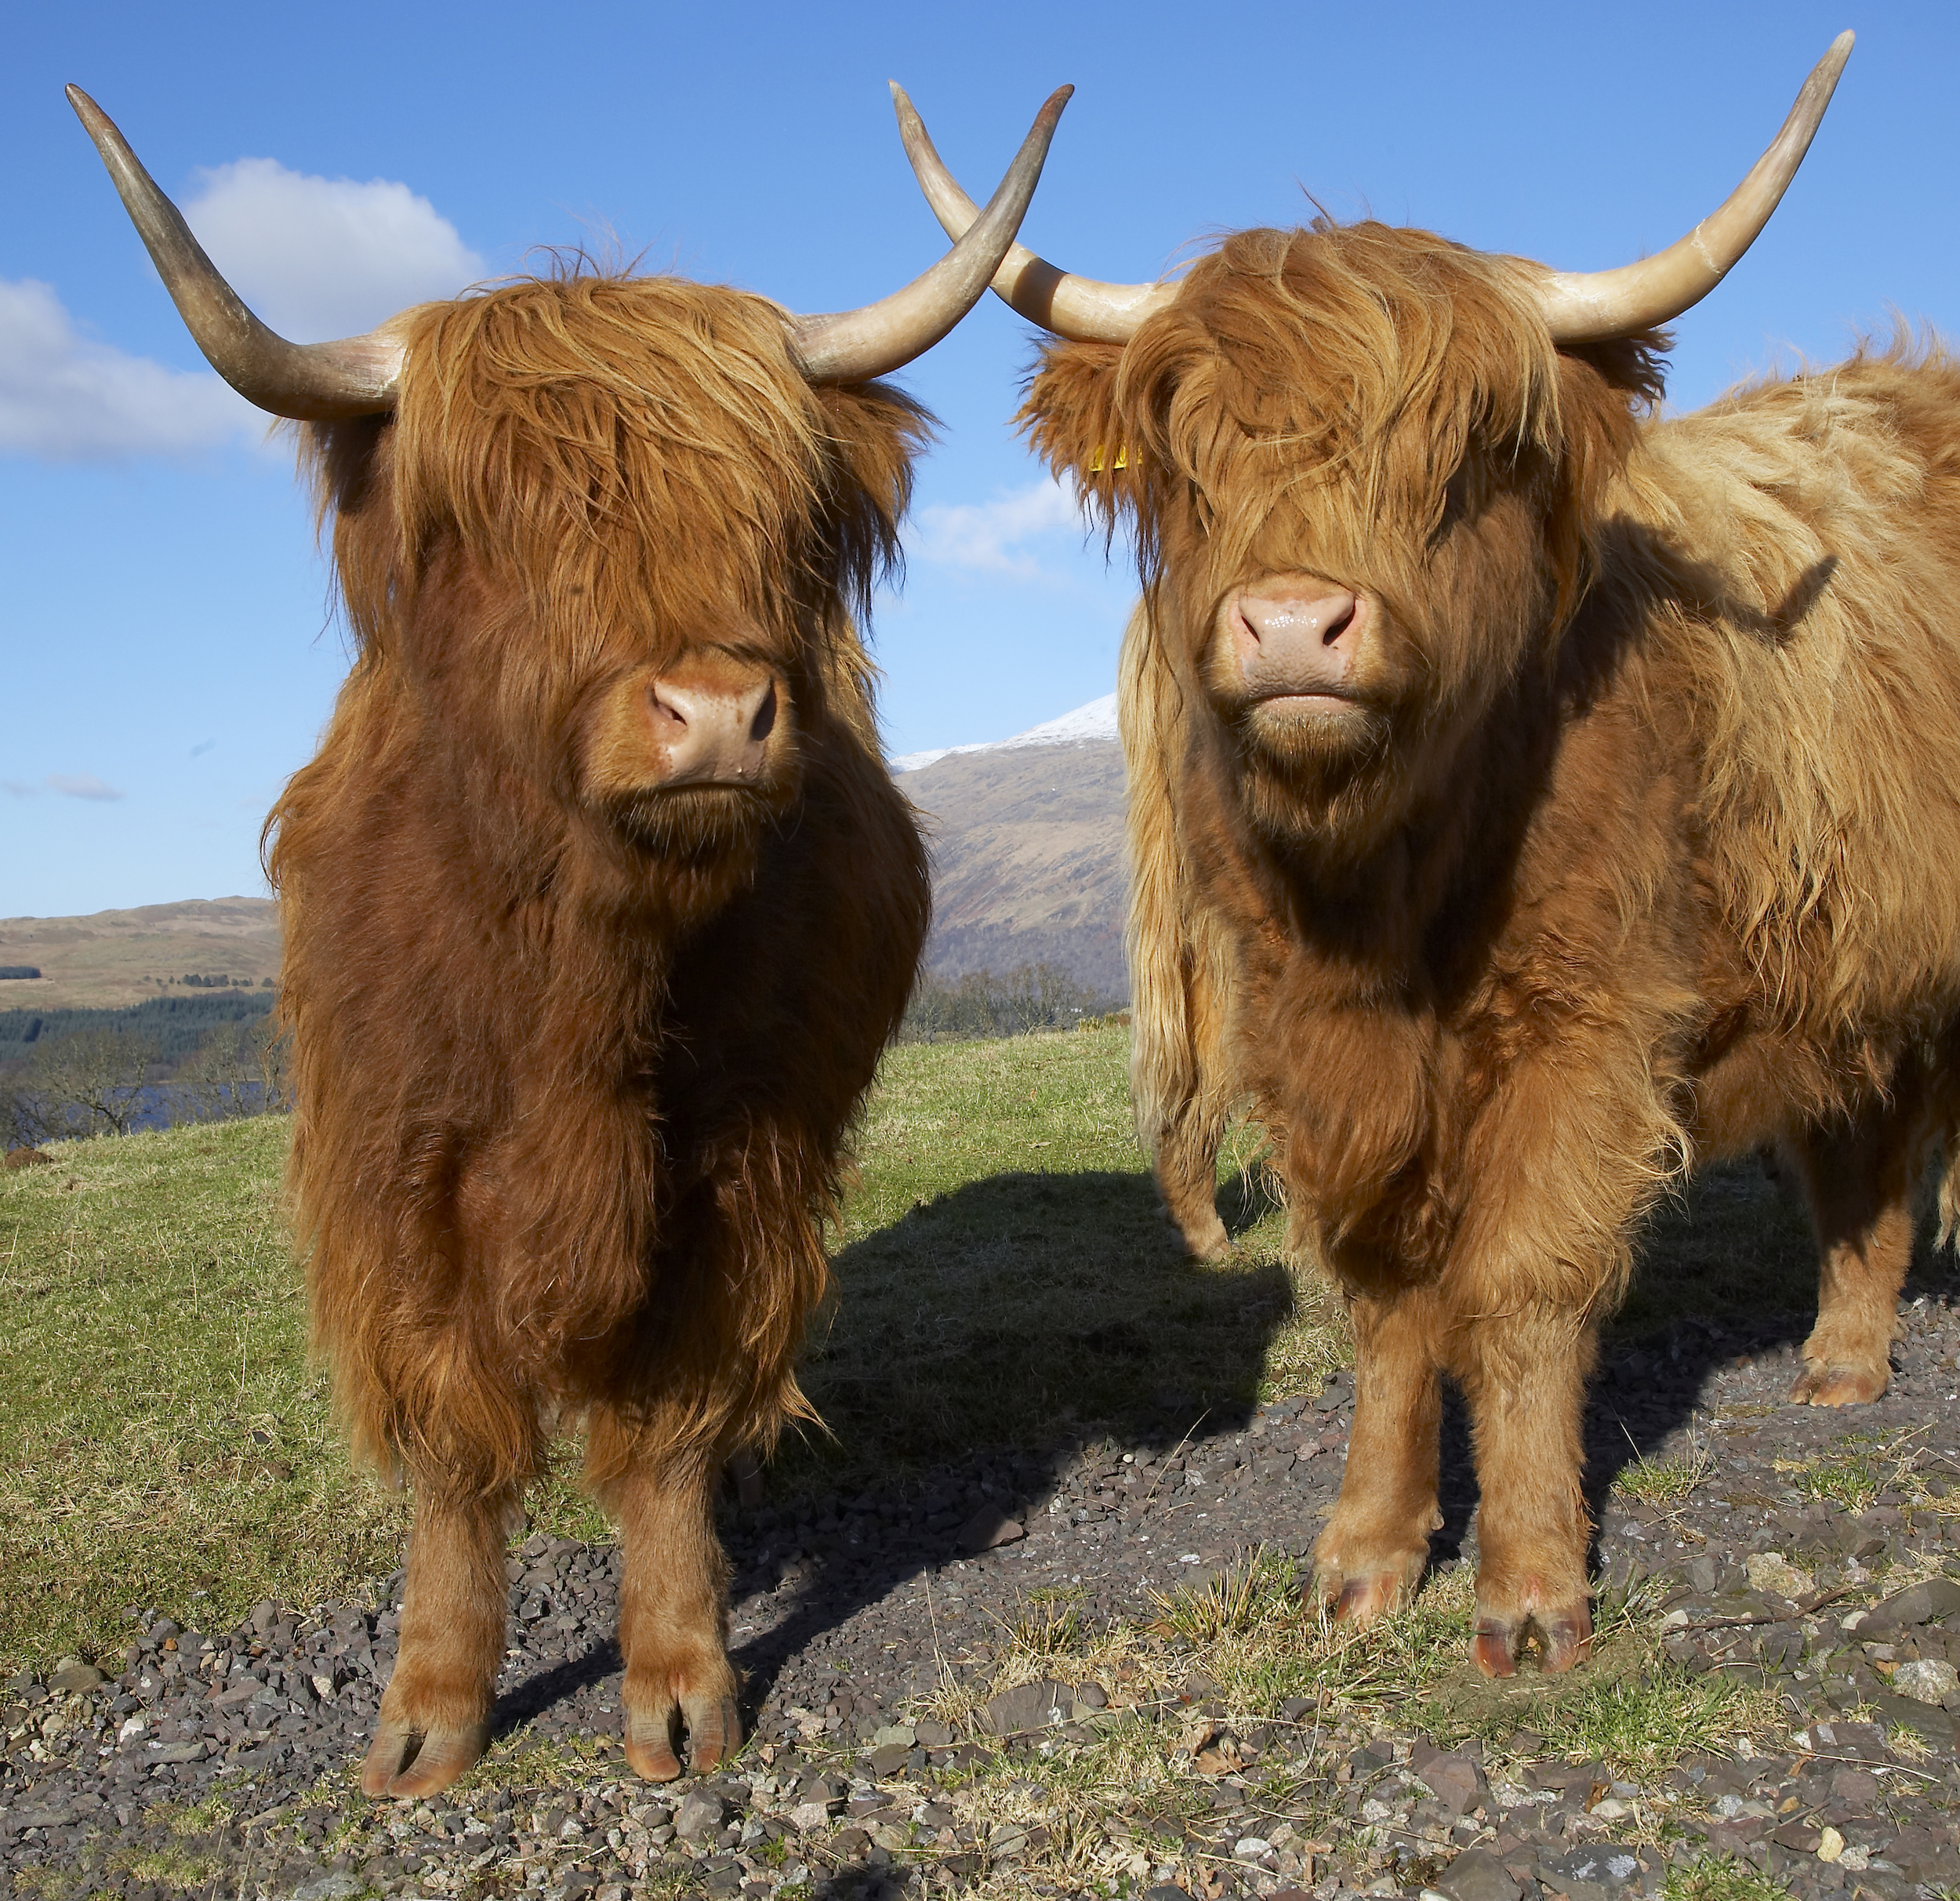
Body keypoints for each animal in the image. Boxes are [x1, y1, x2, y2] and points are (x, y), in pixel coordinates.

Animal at [70, 81, 1068, 1794]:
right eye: (510, 520)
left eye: (779, 516)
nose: (716, 711)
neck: (581, 981)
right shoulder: (401, 1170)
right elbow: (455, 1454)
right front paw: (429, 1713)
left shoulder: (736, 1165)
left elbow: (665, 1427)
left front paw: (677, 1684)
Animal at [892, 39, 1960, 1677]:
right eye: (1191, 466)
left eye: (1456, 457)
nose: (1290, 624)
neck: (1382, 903)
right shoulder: (1308, 1043)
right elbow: (1391, 1294)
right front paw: (1370, 1557)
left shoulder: (1587, 1023)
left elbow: (1521, 1287)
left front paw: (1527, 1586)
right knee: (1863, 1135)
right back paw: (1841, 1359)